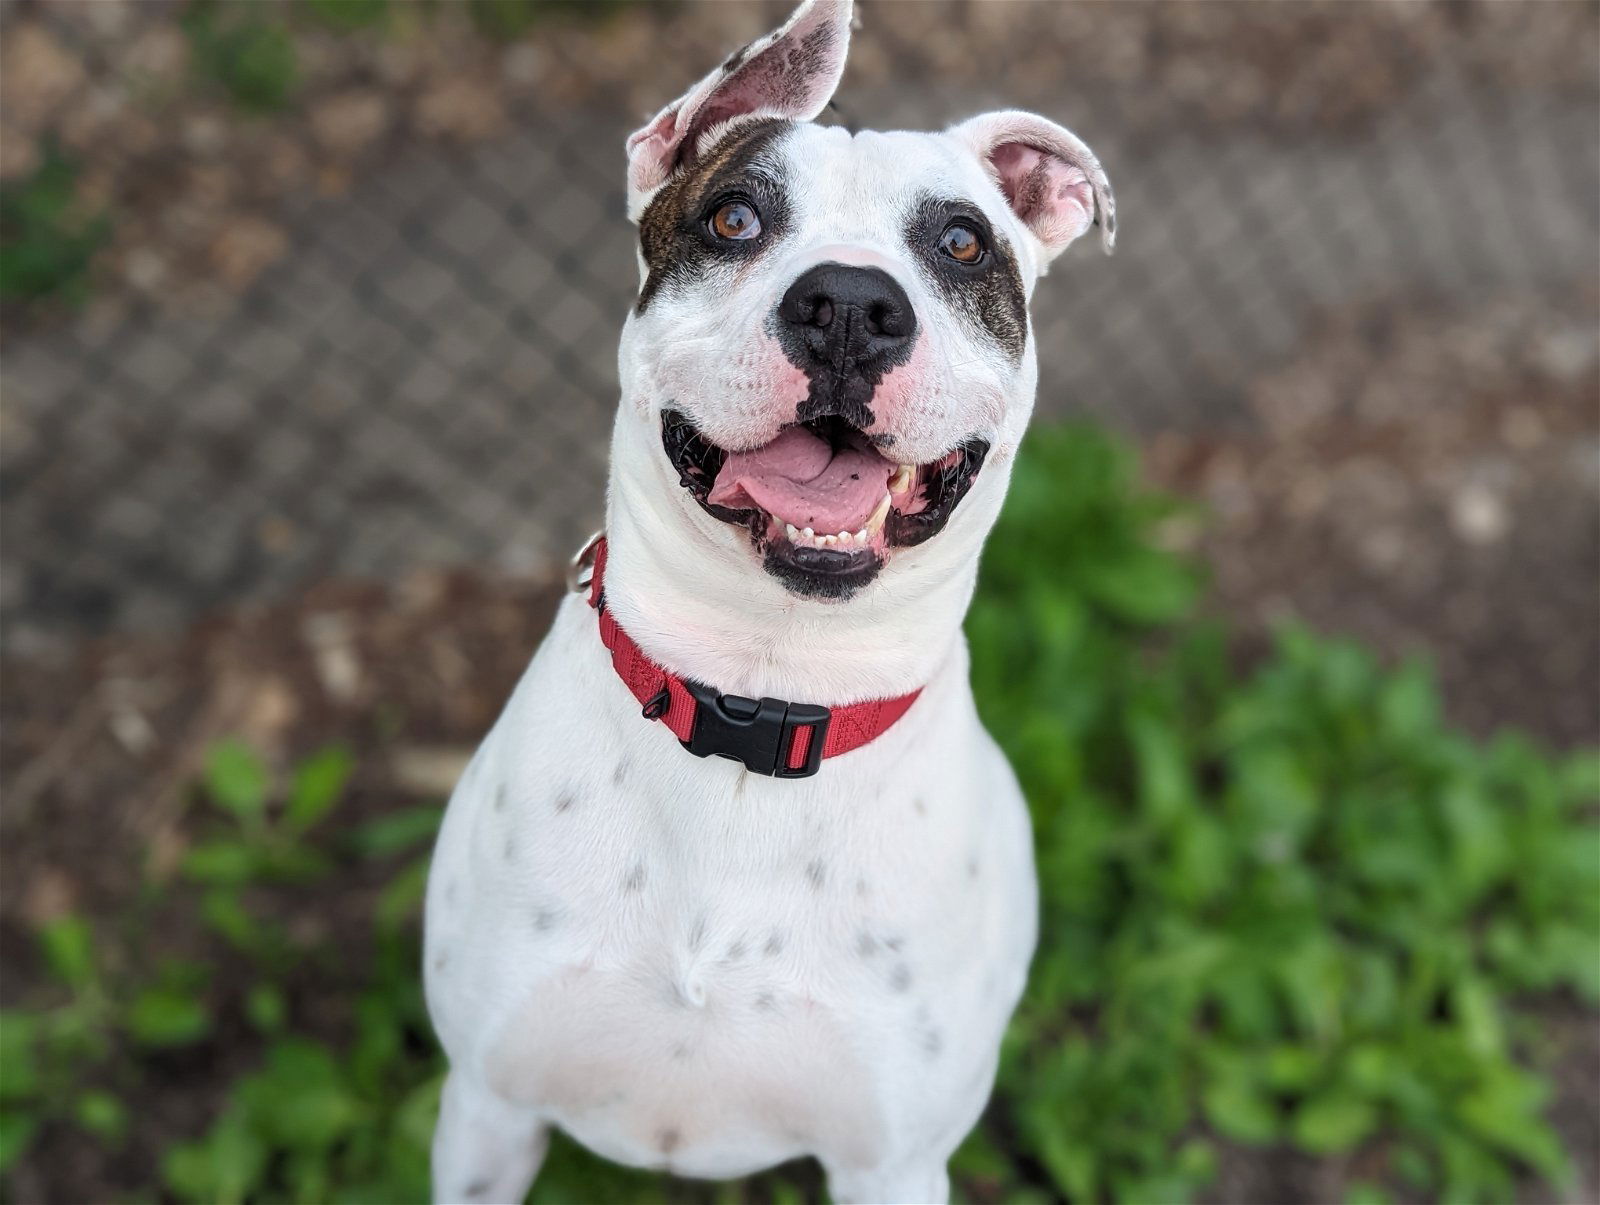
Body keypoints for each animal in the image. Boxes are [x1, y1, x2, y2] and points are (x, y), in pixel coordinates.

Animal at [425, 4, 1113, 1196]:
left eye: (962, 243)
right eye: (735, 217)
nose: (849, 305)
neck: (762, 694)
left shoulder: (895, 1160)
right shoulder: (486, 1107)